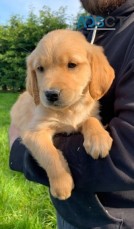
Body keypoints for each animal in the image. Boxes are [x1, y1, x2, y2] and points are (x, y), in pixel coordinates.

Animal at [11, 29, 114, 199]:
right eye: (40, 68)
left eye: (72, 65)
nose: (51, 94)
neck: (69, 110)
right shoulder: (34, 132)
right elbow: (49, 154)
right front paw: (62, 184)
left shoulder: (91, 114)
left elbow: (90, 119)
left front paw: (98, 139)